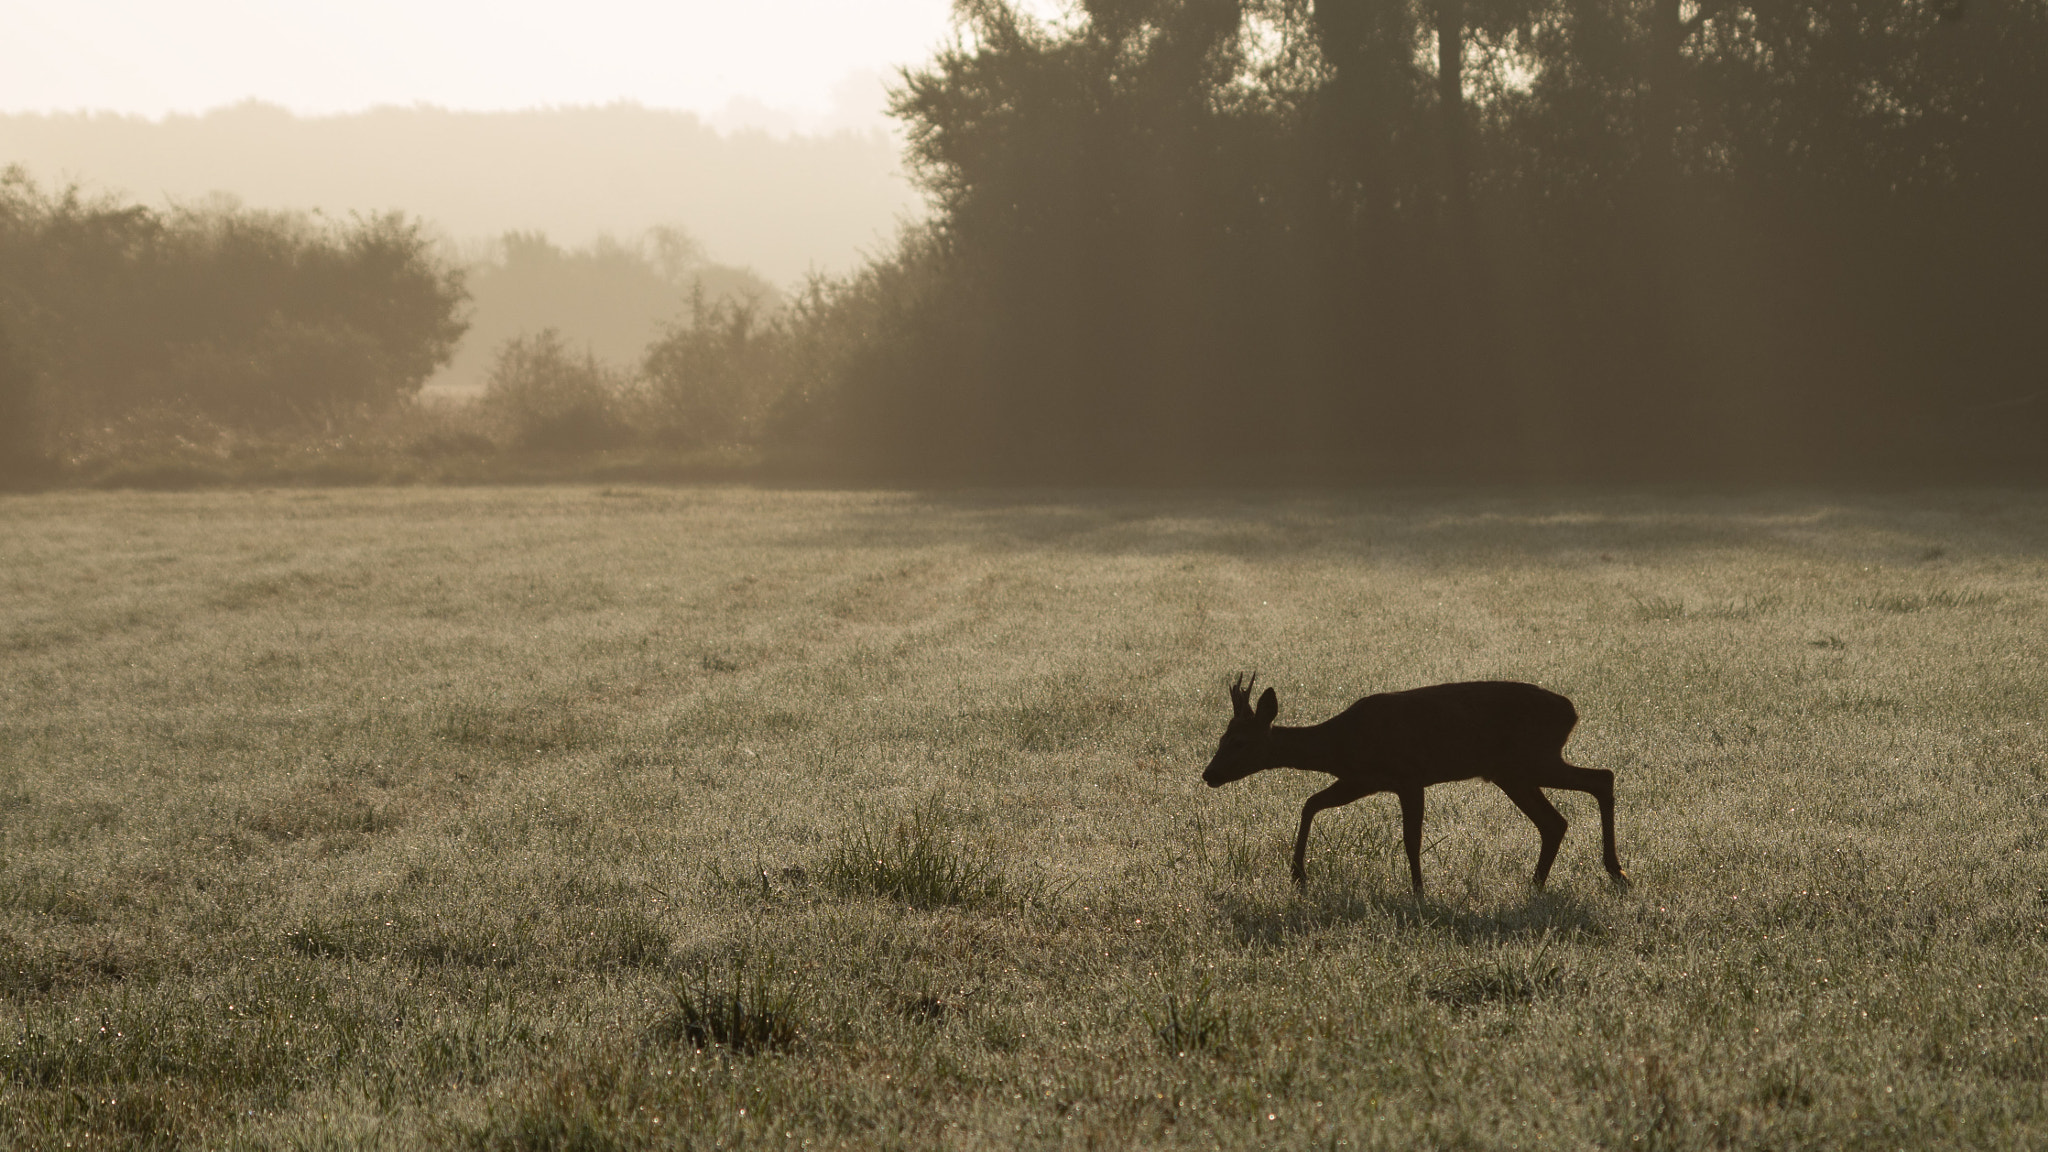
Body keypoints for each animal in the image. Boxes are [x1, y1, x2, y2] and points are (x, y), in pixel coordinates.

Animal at [1196, 676, 1630, 893]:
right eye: (1221, 738)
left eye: (1239, 742)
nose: (1209, 774)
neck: (1341, 743)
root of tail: (1572, 711)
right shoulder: (1362, 779)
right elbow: (1311, 803)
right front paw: (1298, 874)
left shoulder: (1408, 776)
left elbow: (1411, 838)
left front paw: (1419, 891)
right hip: (1518, 770)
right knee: (1558, 818)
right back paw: (1542, 883)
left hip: (1528, 760)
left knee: (1598, 780)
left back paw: (1613, 871)